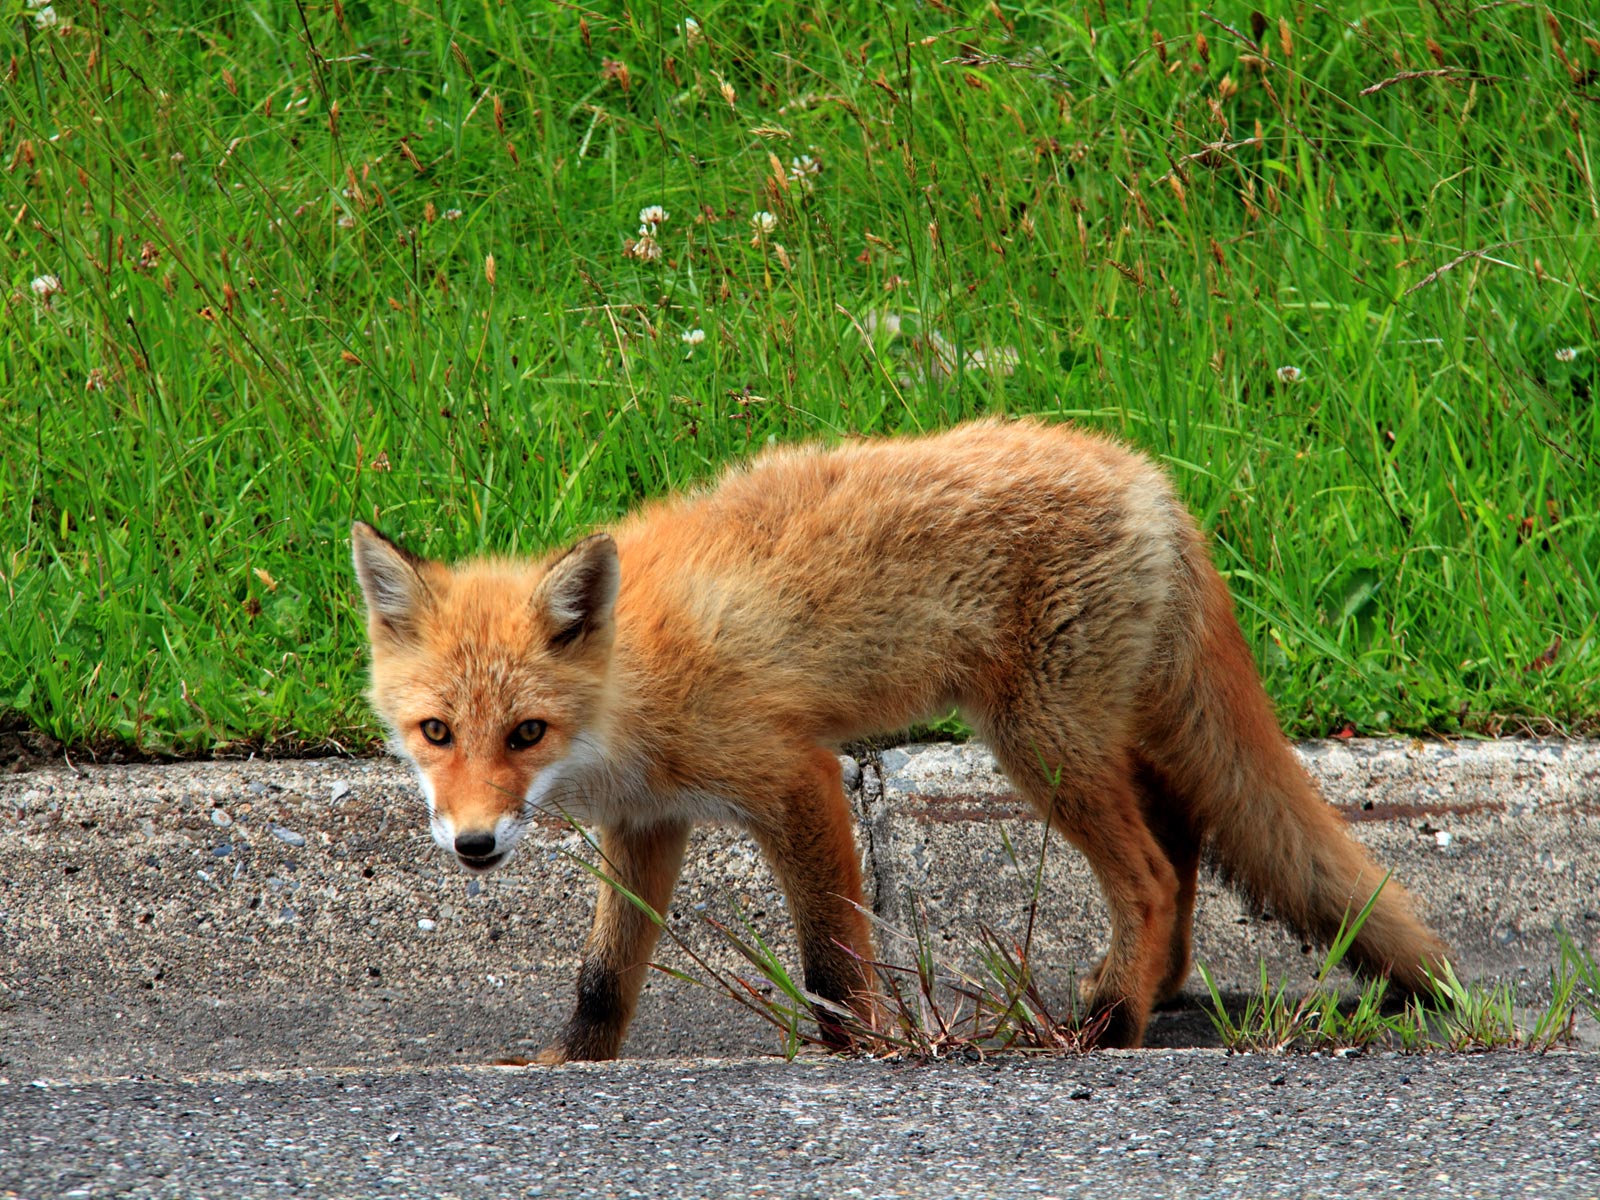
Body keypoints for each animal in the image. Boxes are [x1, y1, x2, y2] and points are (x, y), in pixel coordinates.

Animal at [350, 419, 1452, 1062]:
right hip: (1098, 733)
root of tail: (1147, 475)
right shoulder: (650, 823)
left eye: (526, 732)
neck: (629, 690)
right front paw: (574, 1064)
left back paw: (1108, 1023)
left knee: (1144, 870)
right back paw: (1151, 992)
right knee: (1179, 846)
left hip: (1039, 742)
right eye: (436, 733)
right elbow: (604, 972)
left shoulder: (793, 777)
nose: (473, 846)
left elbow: (835, 960)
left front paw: (861, 1054)